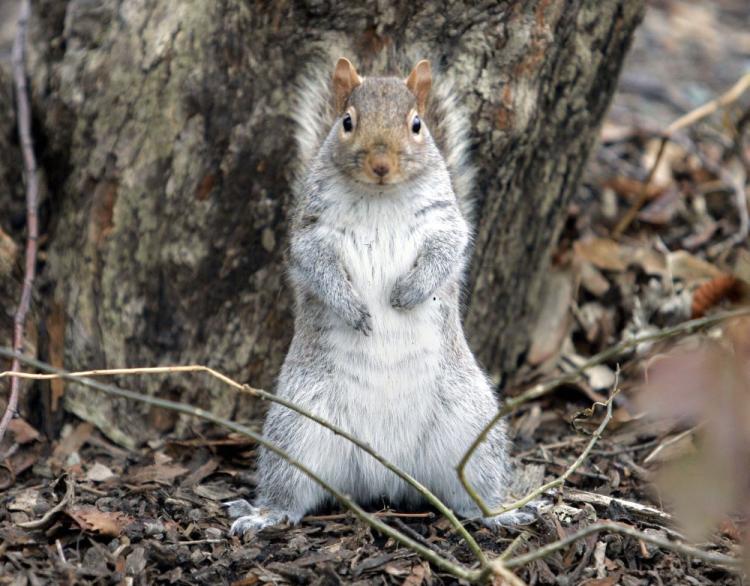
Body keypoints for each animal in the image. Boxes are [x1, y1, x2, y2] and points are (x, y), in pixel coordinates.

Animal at [226, 57, 532, 532]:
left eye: (417, 124)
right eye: (347, 122)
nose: (381, 164)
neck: (380, 197)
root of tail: (386, 473)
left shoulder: (445, 222)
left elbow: (449, 250)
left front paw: (409, 292)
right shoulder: (312, 230)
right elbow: (316, 263)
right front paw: (352, 308)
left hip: (471, 425)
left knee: (472, 489)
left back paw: (498, 512)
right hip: (297, 426)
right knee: (290, 489)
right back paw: (266, 513)